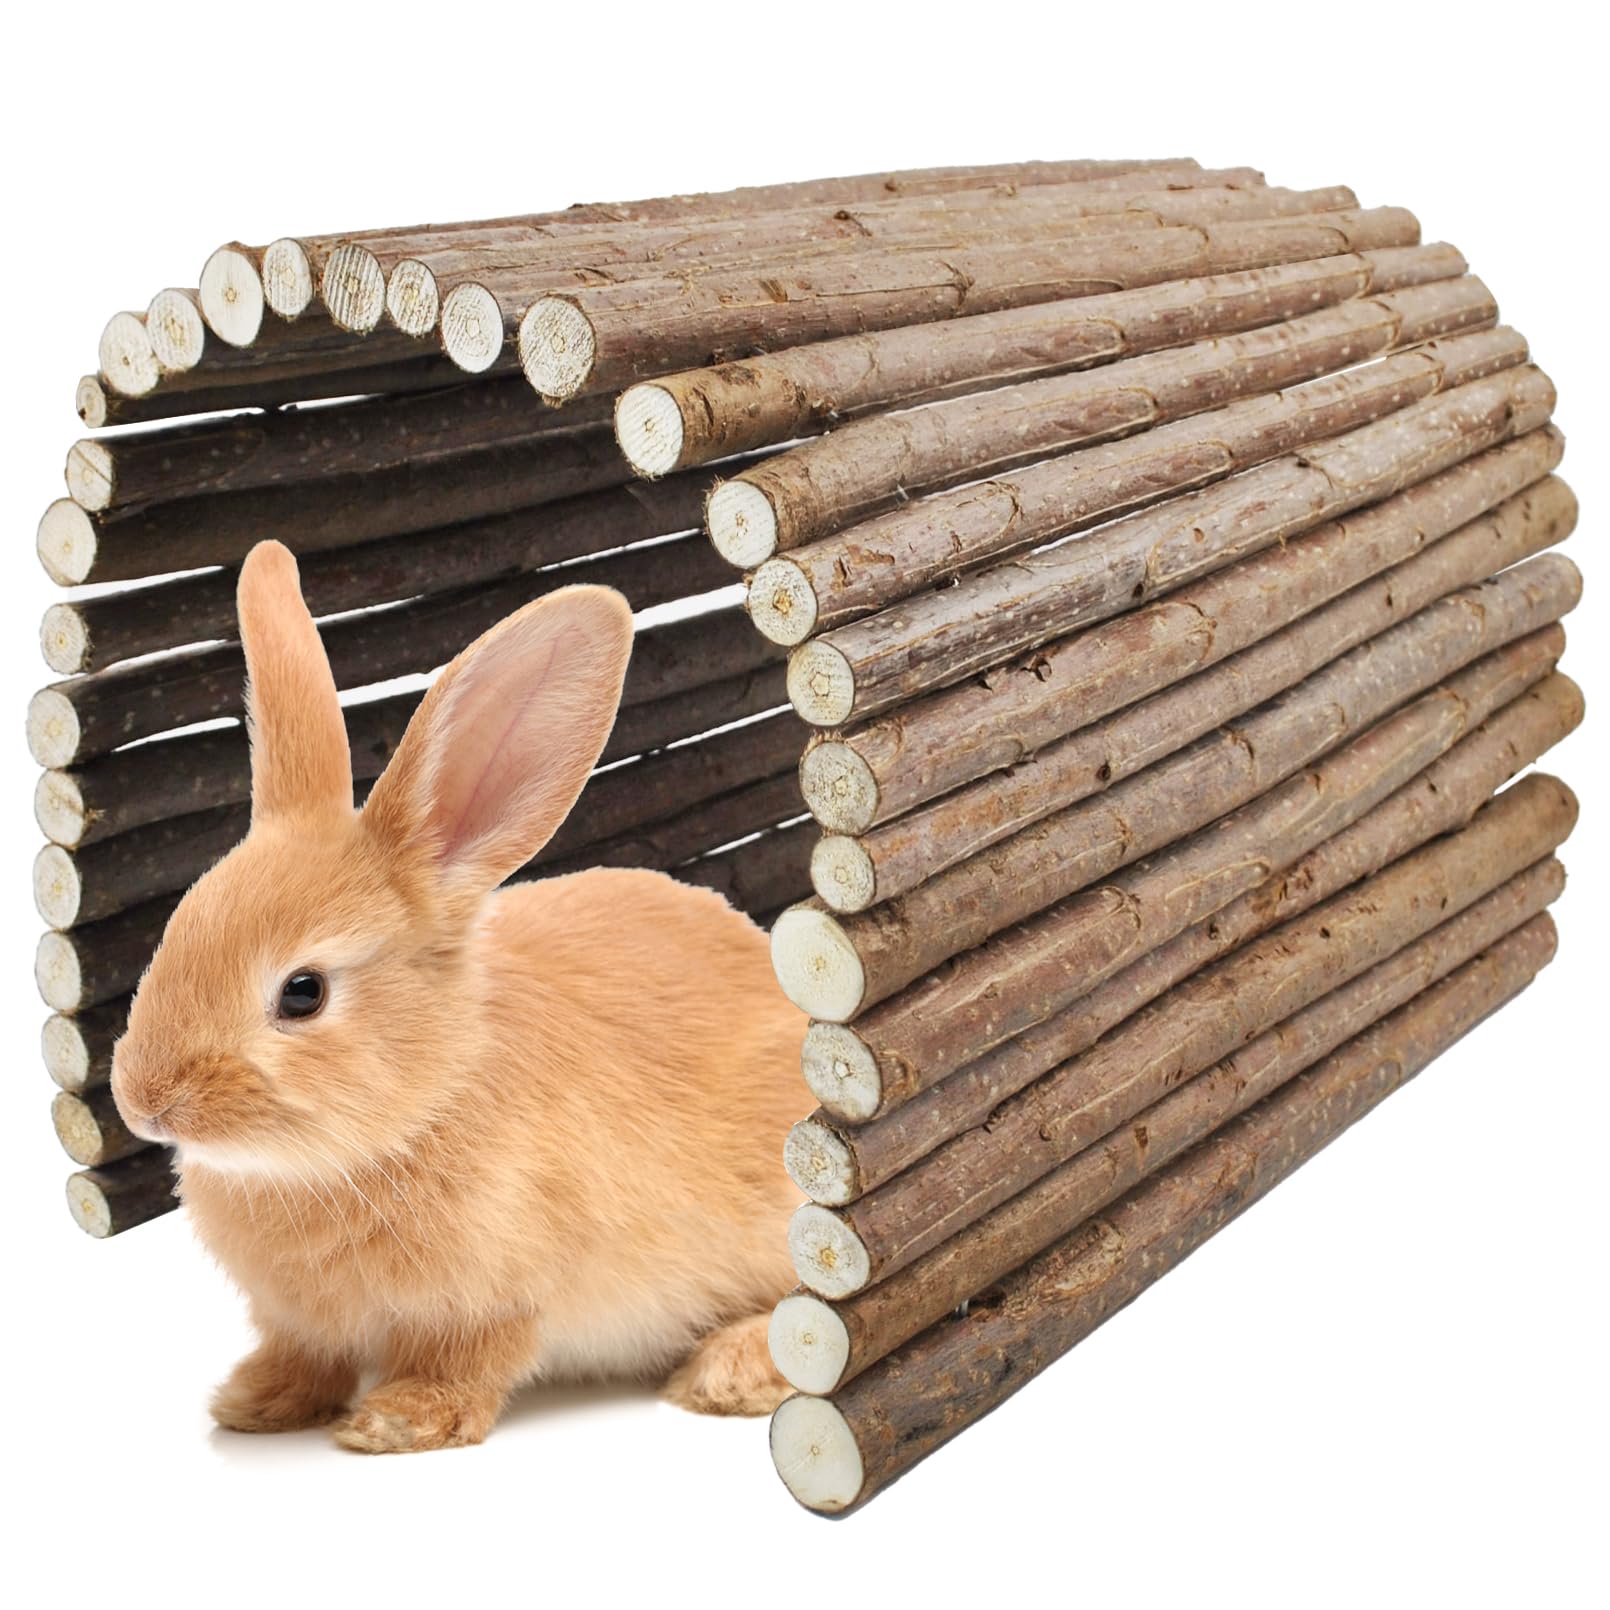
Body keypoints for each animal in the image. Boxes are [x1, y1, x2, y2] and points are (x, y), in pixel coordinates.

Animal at [110, 540, 811, 1452]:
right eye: (177, 929)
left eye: (303, 993)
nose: (145, 1103)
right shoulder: (297, 1320)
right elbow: (303, 1355)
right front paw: (255, 1403)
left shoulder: (496, 1297)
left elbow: (467, 1362)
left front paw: (396, 1423)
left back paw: (727, 1373)